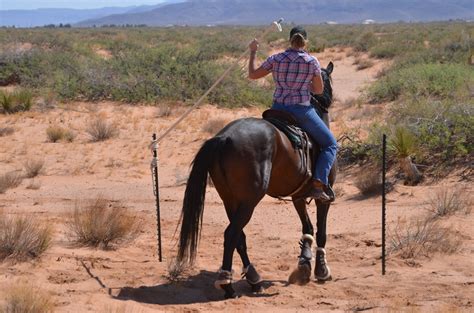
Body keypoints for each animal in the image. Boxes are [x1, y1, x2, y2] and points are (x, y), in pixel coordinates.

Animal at [176, 61, 336, 298]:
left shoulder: (298, 196)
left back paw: (254, 280)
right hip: (249, 200)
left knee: (239, 237)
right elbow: (321, 231)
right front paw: (321, 270)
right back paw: (228, 284)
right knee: (231, 234)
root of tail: (224, 138)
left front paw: (304, 265)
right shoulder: (322, 196)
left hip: (231, 200)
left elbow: (307, 228)